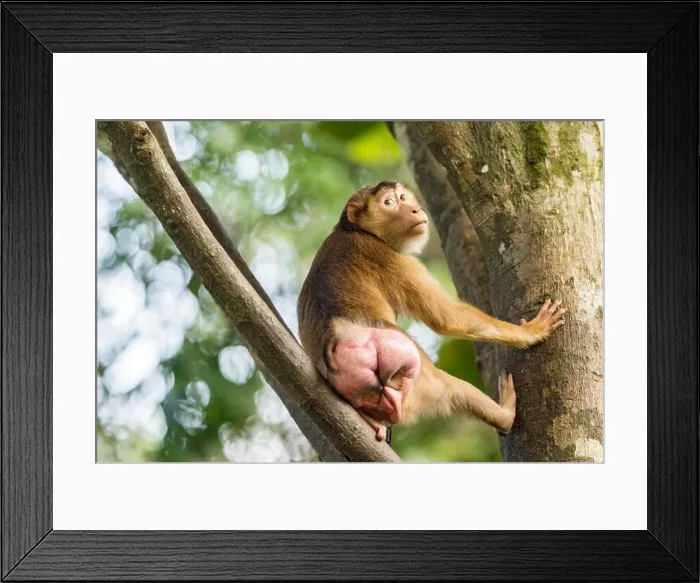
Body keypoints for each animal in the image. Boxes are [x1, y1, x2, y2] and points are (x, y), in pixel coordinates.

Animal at [297, 180, 566, 441]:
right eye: (389, 203)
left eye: (403, 198)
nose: (415, 210)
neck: (353, 230)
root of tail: (339, 340)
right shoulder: (387, 257)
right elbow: (446, 318)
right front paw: (532, 331)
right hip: (412, 371)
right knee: (447, 389)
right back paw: (505, 415)